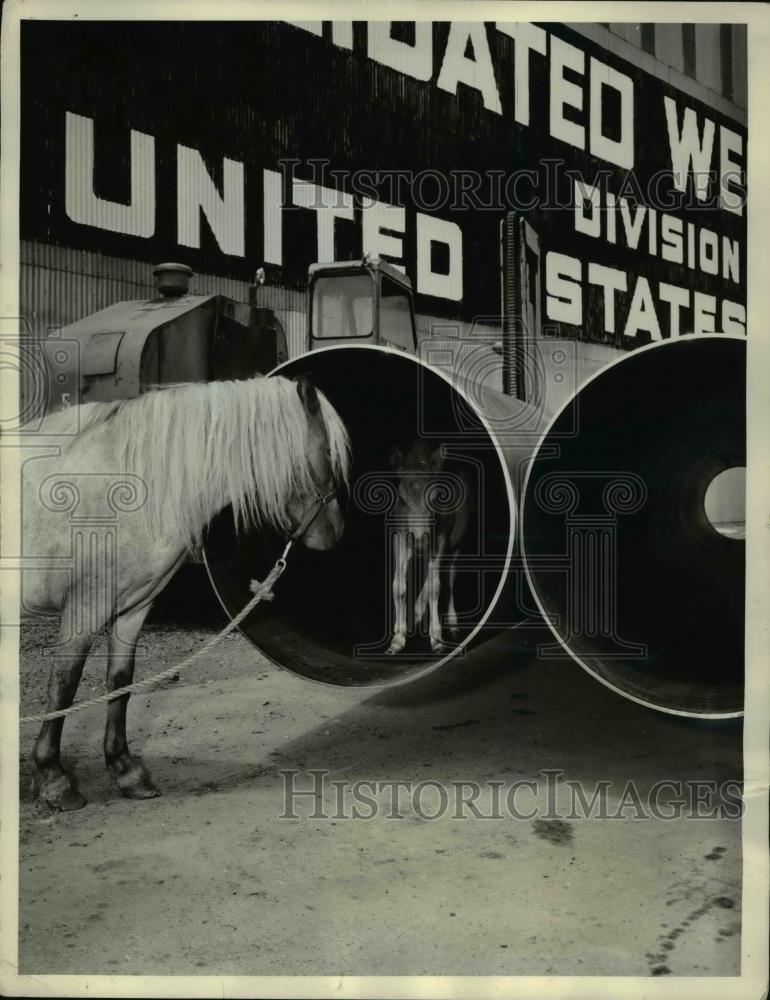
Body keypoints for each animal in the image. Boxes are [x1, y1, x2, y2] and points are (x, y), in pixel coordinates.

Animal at [20, 372, 352, 808]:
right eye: (327, 451)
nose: (335, 533)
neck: (125, 480)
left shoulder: (133, 609)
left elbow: (120, 683)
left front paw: (126, 771)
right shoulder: (84, 609)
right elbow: (64, 687)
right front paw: (54, 779)